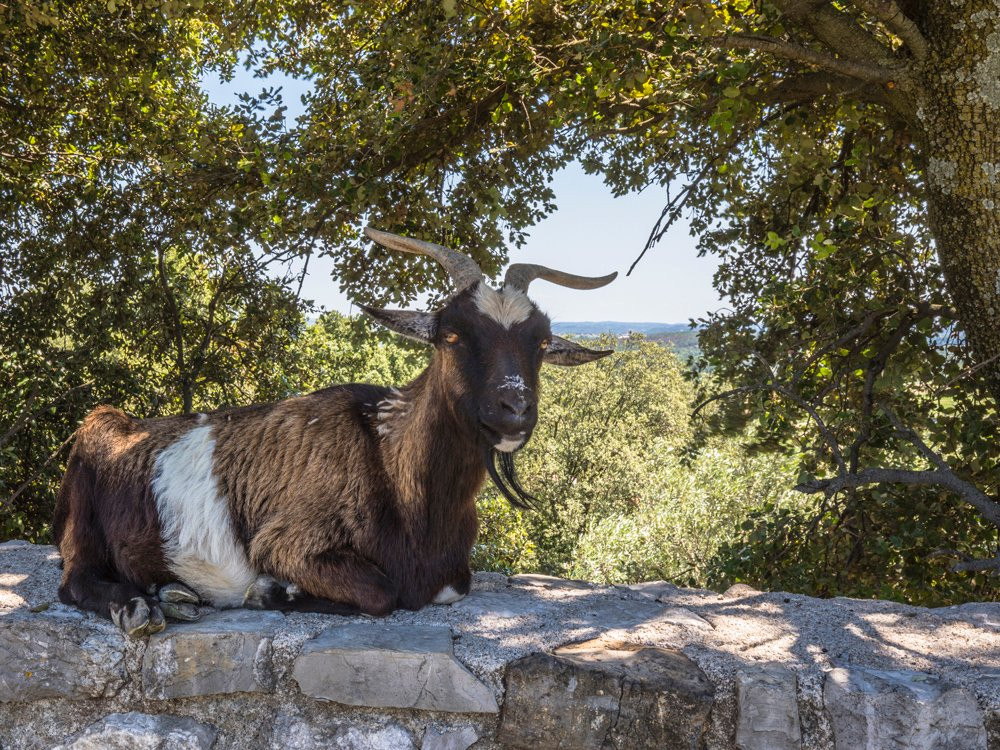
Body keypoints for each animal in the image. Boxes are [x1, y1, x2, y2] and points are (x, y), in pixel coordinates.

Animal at [54, 228, 616, 636]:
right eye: (451, 335)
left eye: (541, 343)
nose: (514, 409)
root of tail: (114, 423)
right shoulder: (286, 542)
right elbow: (381, 593)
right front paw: (270, 592)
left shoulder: (453, 578)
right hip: (84, 518)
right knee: (74, 580)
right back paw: (139, 606)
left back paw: (168, 594)